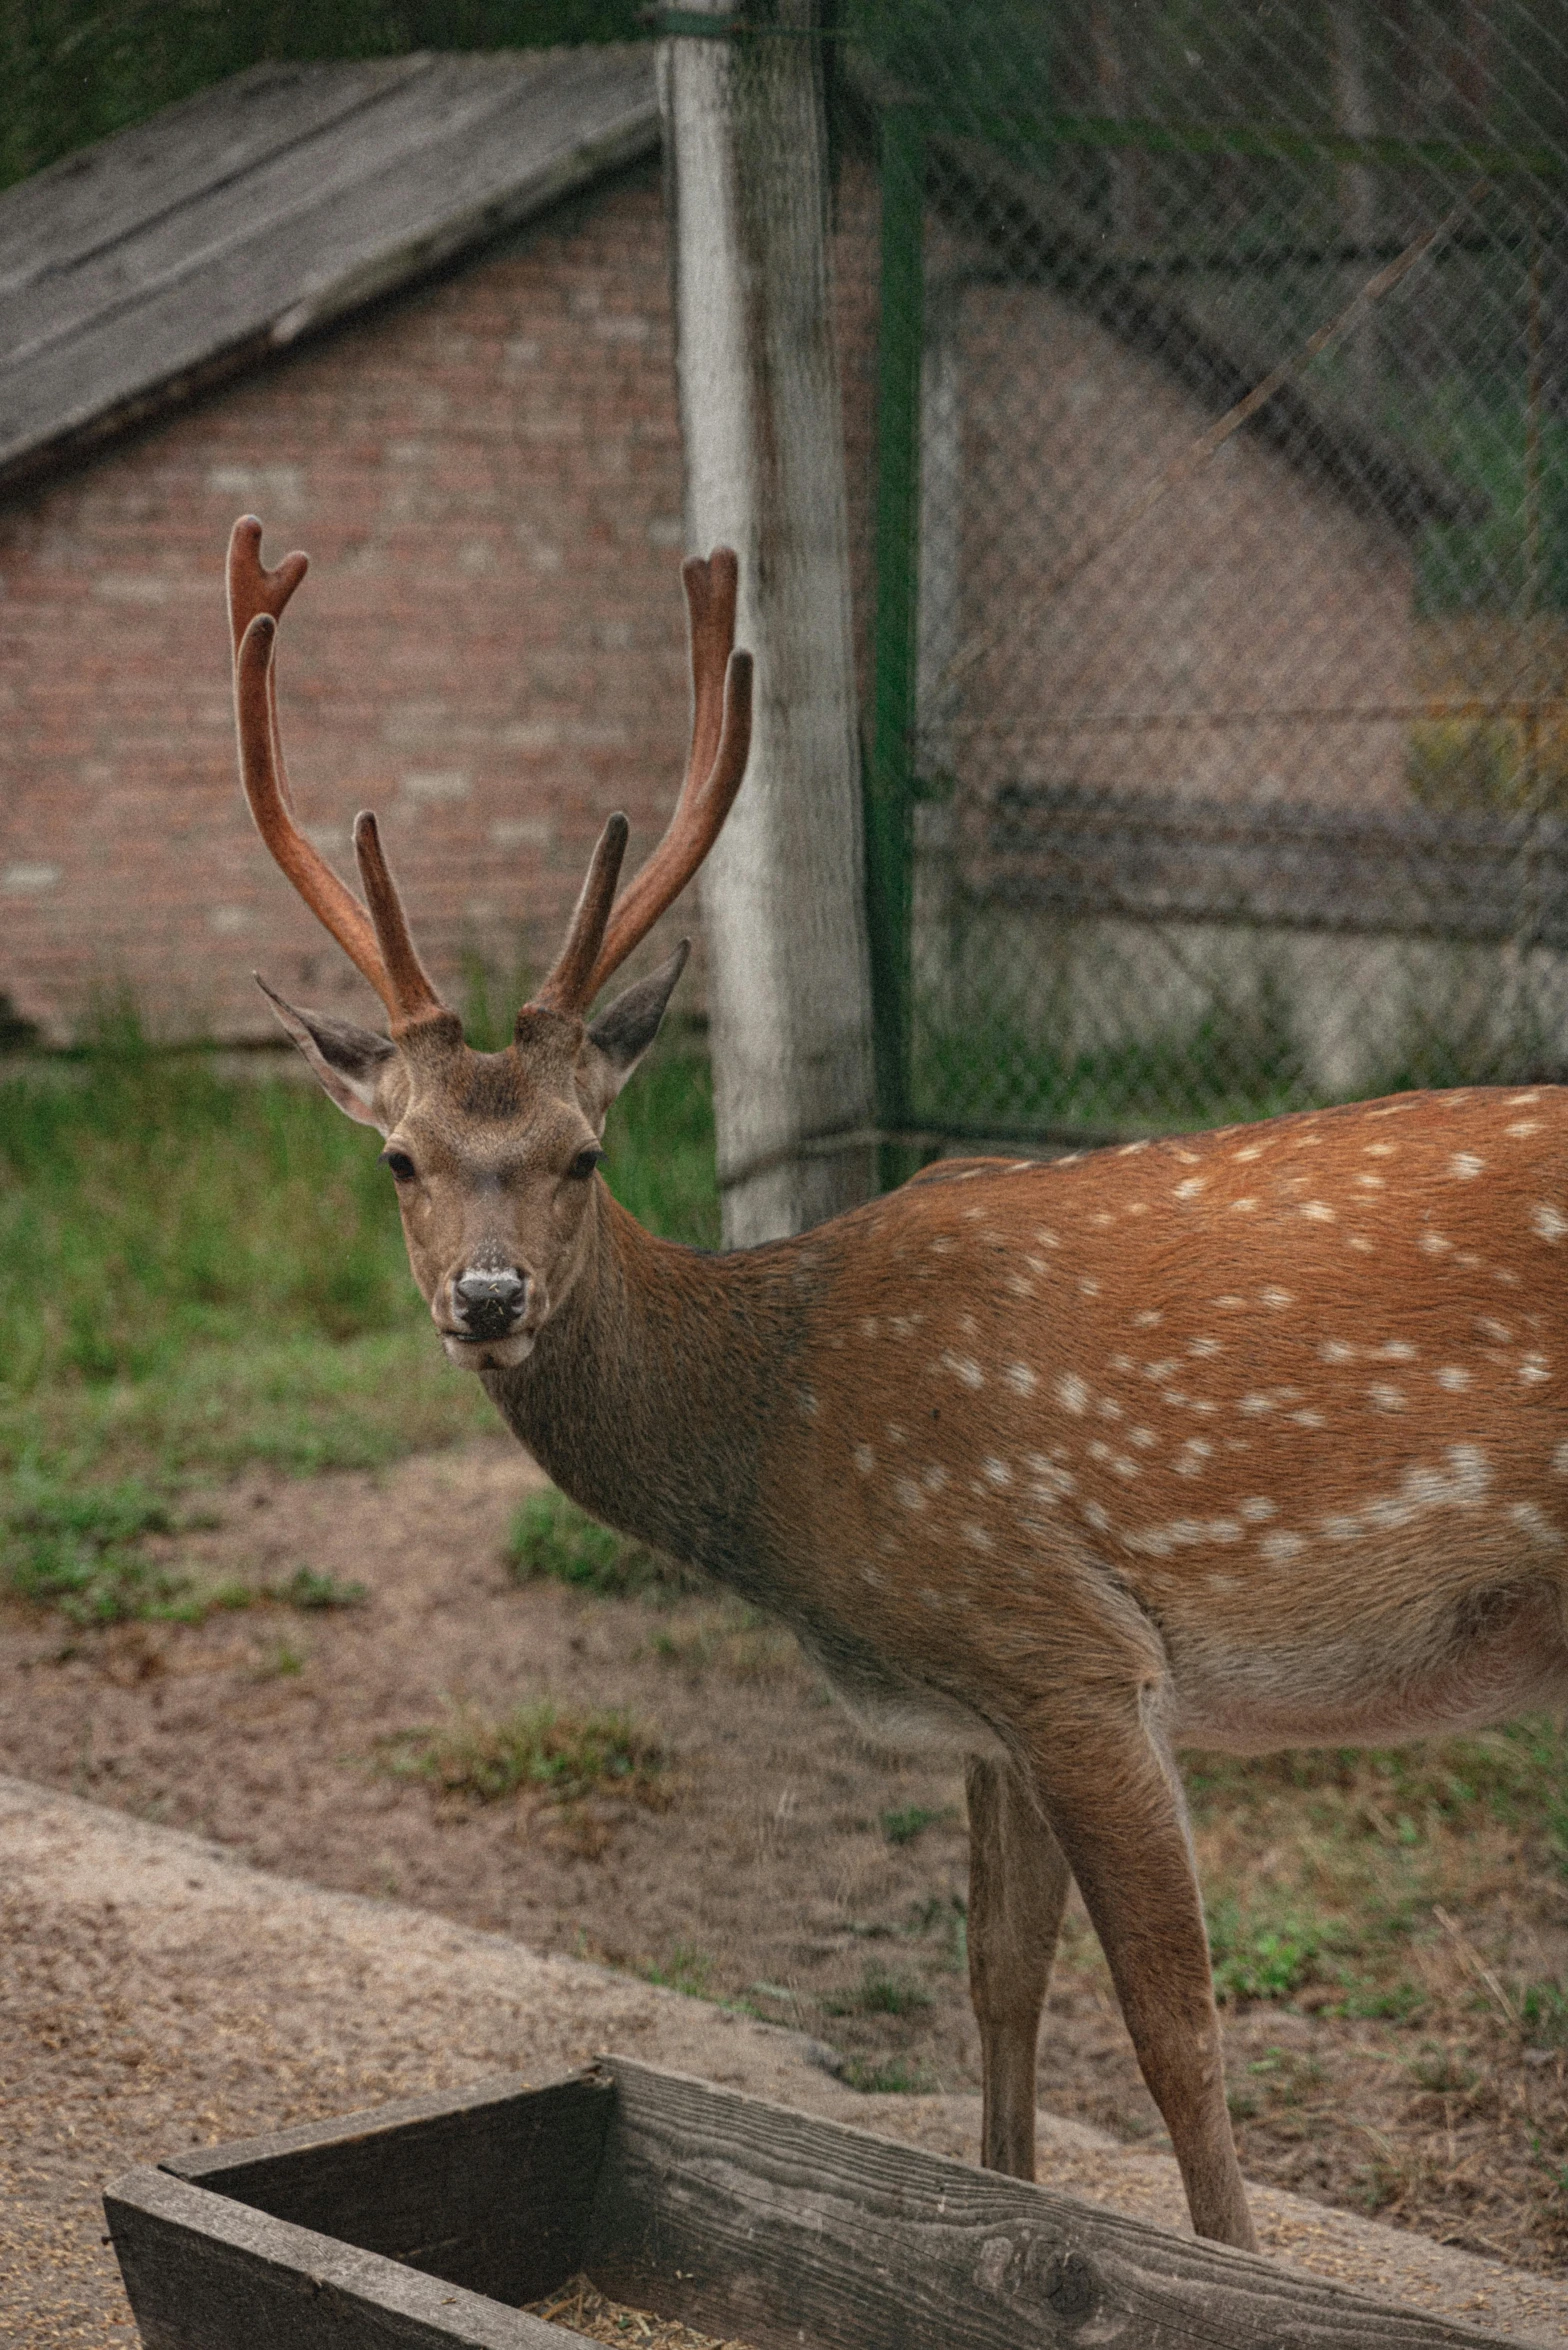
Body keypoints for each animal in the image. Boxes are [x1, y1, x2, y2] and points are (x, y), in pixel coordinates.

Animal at [223, 514, 1568, 2237]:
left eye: (586, 1150)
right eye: (401, 1158)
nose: (488, 1295)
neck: (779, 1429)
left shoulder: (1059, 1637)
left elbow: (1176, 2028)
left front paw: (1231, 2258)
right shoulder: (989, 1699)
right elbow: (998, 1981)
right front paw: (1009, 2211)